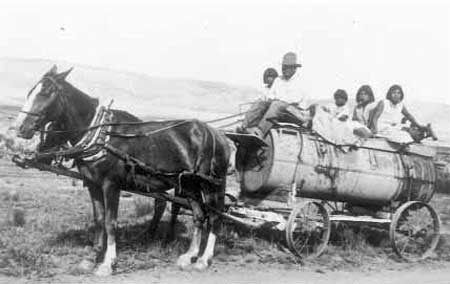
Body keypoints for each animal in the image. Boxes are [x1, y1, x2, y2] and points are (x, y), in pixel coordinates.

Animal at [15, 66, 230, 276]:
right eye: (30, 91)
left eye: (46, 92)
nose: (20, 128)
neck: (102, 136)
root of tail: (218, 135)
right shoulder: (92, 184)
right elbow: (99, 220)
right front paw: (93, 257)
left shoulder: (111, 185)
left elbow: (111, 222)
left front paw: (108, 263)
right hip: (189, 184)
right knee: (199, 216)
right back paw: (189, 256)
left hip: (210, 184)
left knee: (215, 217)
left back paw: (204, 259)